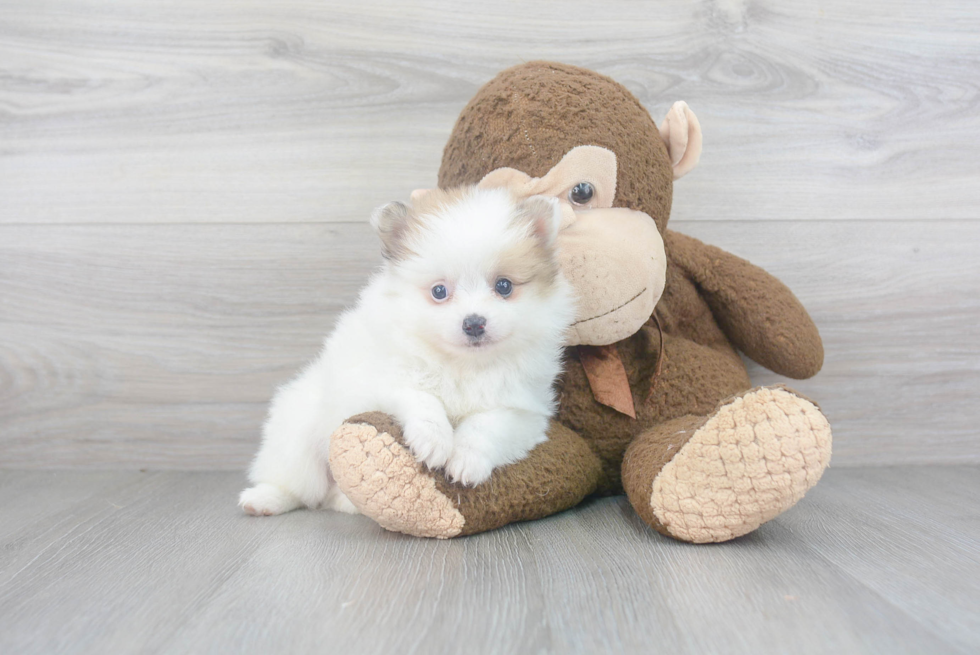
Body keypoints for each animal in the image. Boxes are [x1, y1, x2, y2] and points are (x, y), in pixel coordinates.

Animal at [239, 186, 576, 516]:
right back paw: (263, 499)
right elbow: (422, 398)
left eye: (504, 286)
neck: (462, 365)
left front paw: (466, 461)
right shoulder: (384, 379)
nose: (474, 323)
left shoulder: (522, 411)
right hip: (297, 434)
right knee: (298, 486)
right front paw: (434, 440)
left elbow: (486, 426)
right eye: (439, 291)